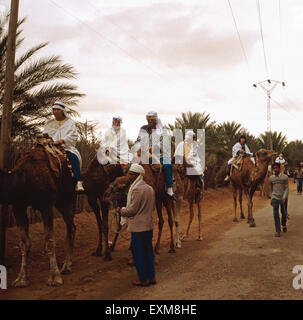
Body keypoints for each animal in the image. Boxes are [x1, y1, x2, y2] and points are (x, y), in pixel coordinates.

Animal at [0, 137, 76, 288]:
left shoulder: (46, 204)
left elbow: (49, 240)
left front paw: (54, 278)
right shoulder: (18, 207)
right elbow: (24, 243)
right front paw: (21, 279)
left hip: (68, 197)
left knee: (70, 226)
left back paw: (66, 266)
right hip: (60, 202)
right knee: (72, 226)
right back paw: (68, 263)